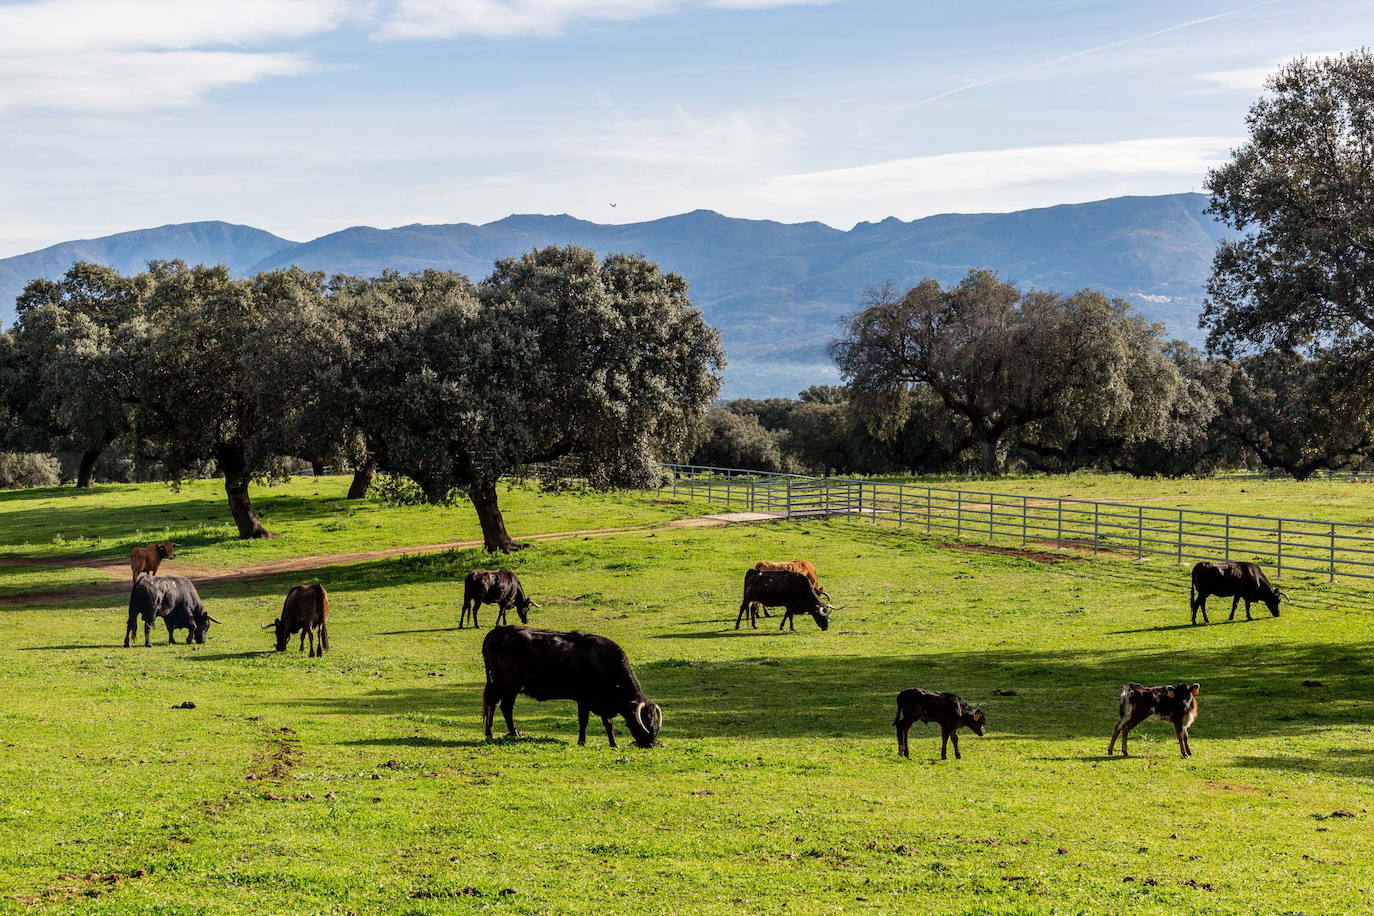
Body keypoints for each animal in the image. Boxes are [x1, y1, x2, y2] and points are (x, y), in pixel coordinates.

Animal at [480, 626, 662, 747]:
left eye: (654, 722)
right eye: (643, 722)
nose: (650, 744)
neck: (604, 662)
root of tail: (498, 631)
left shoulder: (602, 704)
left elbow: (607, 723)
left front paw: (613, 743)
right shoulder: (584, 699)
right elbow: (584, 721)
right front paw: (582, 742)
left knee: (495, 705)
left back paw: (494, 733)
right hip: (507, 686)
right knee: (503, 707)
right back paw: (510, 733)